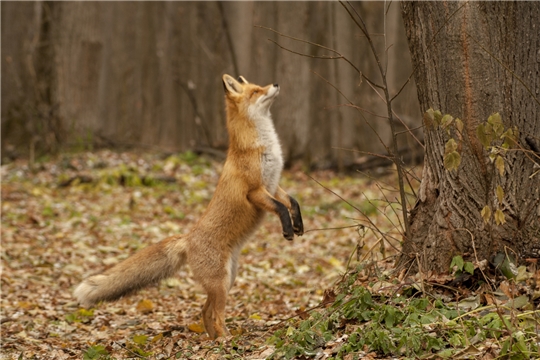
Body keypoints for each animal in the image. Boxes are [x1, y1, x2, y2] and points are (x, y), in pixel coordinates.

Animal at [74, 74, 304, 338]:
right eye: (256, 91)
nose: (275, 84)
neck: (259, 146)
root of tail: (188, 238)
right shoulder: (255, 191)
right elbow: (280, 208)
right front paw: (287, 230)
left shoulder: (273, 185)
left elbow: (293, 202)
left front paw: (299, 225)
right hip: (221, 282)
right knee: (215, 314)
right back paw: (225, 340)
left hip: (228, 279)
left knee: (205, 311)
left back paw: (214, 339)